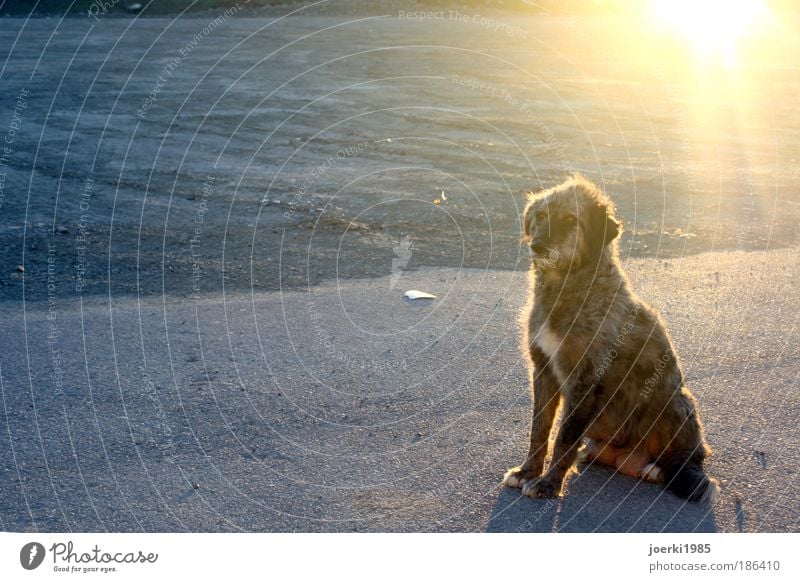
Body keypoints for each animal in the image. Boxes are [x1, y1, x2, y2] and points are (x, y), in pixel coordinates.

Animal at [500, 176, 720, 504]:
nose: (537, 246)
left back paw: (658, 468)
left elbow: (565, 436)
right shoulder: (543, 370)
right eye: (539, 216)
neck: (567, 288)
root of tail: (626, 460)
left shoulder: (586, 380)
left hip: (674, 400)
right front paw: (527, 472)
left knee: (691, 456)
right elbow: (539, 429)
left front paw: (548, 483)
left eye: (570, 220)